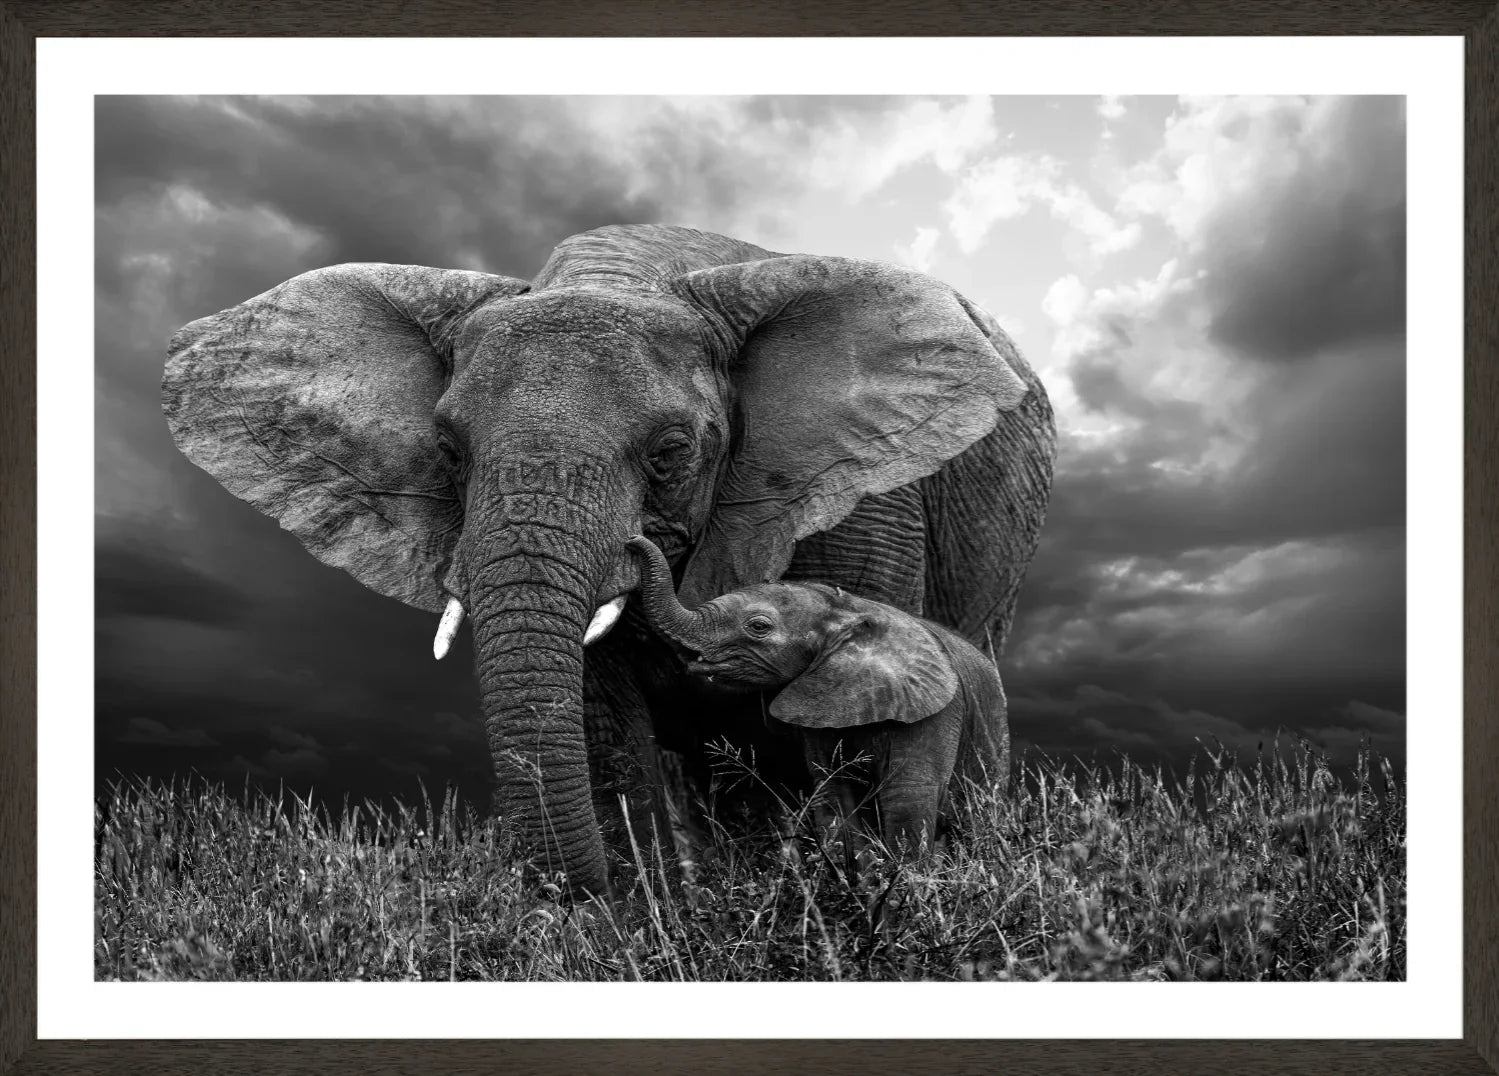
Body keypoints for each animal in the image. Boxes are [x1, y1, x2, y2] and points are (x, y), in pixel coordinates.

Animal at [627, 535, 1008, 858]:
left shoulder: (935, 713)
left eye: (759, 627)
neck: (847, 611)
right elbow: (834, 798)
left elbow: (908, 798)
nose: (633, 540)